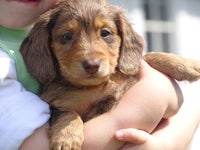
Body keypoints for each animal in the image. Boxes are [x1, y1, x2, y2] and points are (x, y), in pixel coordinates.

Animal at [19, 0, 200, 150]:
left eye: (105, 33)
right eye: (67, 36)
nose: (92, 65)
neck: (94, 86)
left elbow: (147, 56)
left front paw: (185, 64)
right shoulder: (56, 104)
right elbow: (66, 113)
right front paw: (66, 137)